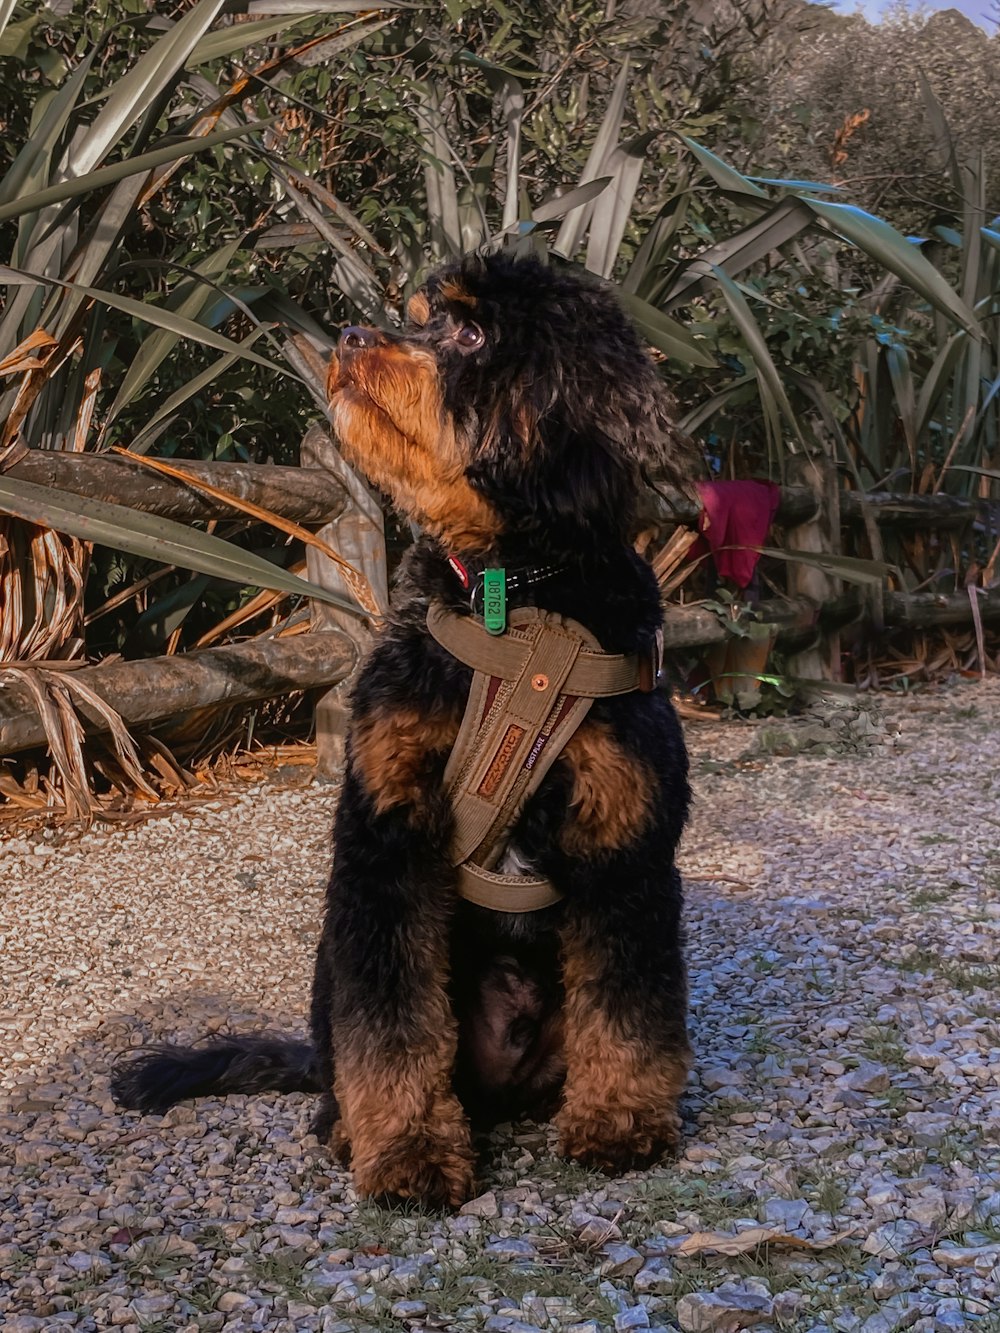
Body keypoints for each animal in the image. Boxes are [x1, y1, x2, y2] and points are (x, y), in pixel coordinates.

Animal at [113, 250, 698, 1210]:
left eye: (469, 332)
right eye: (420, 315)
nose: (349, 335)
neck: (513, 594)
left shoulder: (625, 838)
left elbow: (630, 1000)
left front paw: (620, 1118)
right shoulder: (386, 835)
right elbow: (390, 1023)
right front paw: (410, 1150)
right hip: (331, 963)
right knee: (342, 1053)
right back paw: (348, 1124)